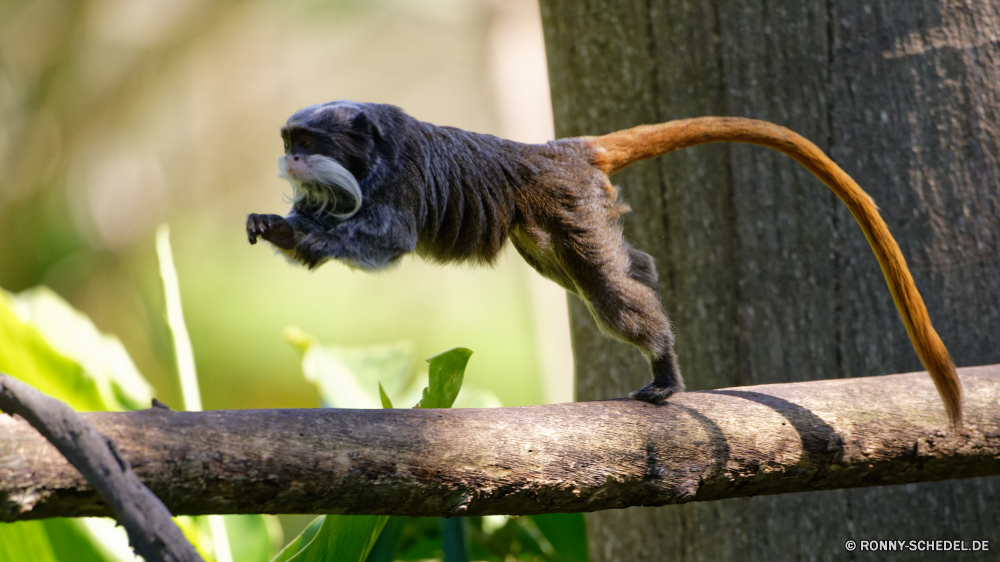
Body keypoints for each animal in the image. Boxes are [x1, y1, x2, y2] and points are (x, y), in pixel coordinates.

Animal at [248, 99, 960, 424]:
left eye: (307, 141)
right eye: (289, 140)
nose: (290, 157)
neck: (372, 154)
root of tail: (556, 151)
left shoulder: (398, 183)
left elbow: (384, 241)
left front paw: (313, 241)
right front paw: (281, 228)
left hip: (569, 203)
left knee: (610, 295)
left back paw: (665, 365)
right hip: (548, 220)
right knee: (610, 271)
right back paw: (644, 274)